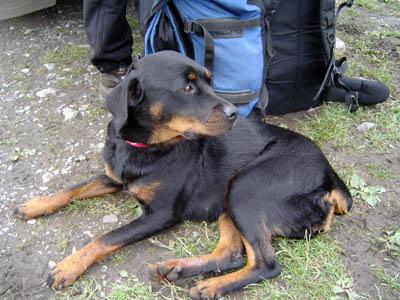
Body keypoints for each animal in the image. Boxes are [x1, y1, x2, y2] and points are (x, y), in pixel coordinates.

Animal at [14, 51, 352, 298]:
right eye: (187, 88)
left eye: (209, 82)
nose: (233, 113)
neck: (143, 147)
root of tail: (331, 177)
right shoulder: (113, 176)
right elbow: (72, 188)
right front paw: (36, 204)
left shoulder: (161, 214)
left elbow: (105, 237)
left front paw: (68, 266)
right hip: (229, 197)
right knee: (232, 254)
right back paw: (178, 269)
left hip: (245, 187)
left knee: (266, 265)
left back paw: (211, 286)